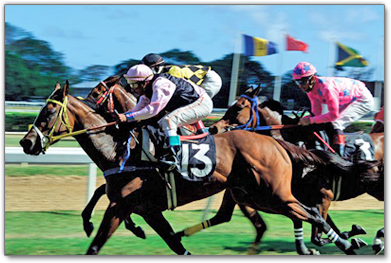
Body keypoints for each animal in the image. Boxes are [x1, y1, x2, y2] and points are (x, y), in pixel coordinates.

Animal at [17, 81, 364, 255]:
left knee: (310, 213)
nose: (26, 143)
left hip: (272, 193)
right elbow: (173, 242)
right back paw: (339, 240)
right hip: (255, 194)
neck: (120, 151)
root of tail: (274, 142)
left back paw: (345, 242)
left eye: (48, 112)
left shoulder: (120, 206)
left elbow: (97, 240)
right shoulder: (146, 209)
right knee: (303, 213)